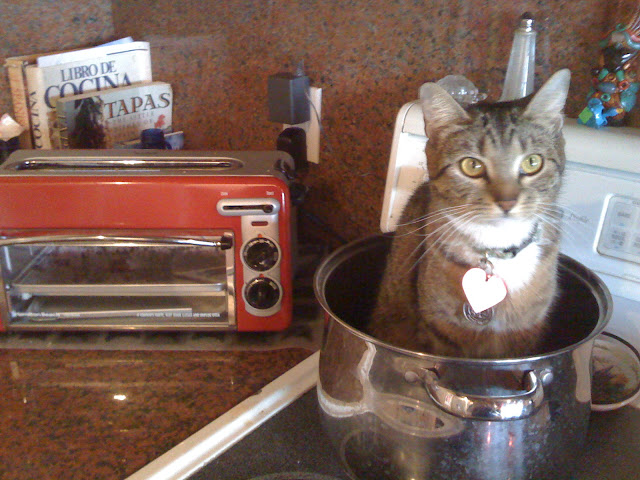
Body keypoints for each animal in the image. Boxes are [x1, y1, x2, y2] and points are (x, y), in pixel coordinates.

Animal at [368, 69, 572, 358]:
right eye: (471, 165)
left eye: (533, 162)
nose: (507, 201)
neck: (498, 249)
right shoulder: (441, 332)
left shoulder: (525, 334)